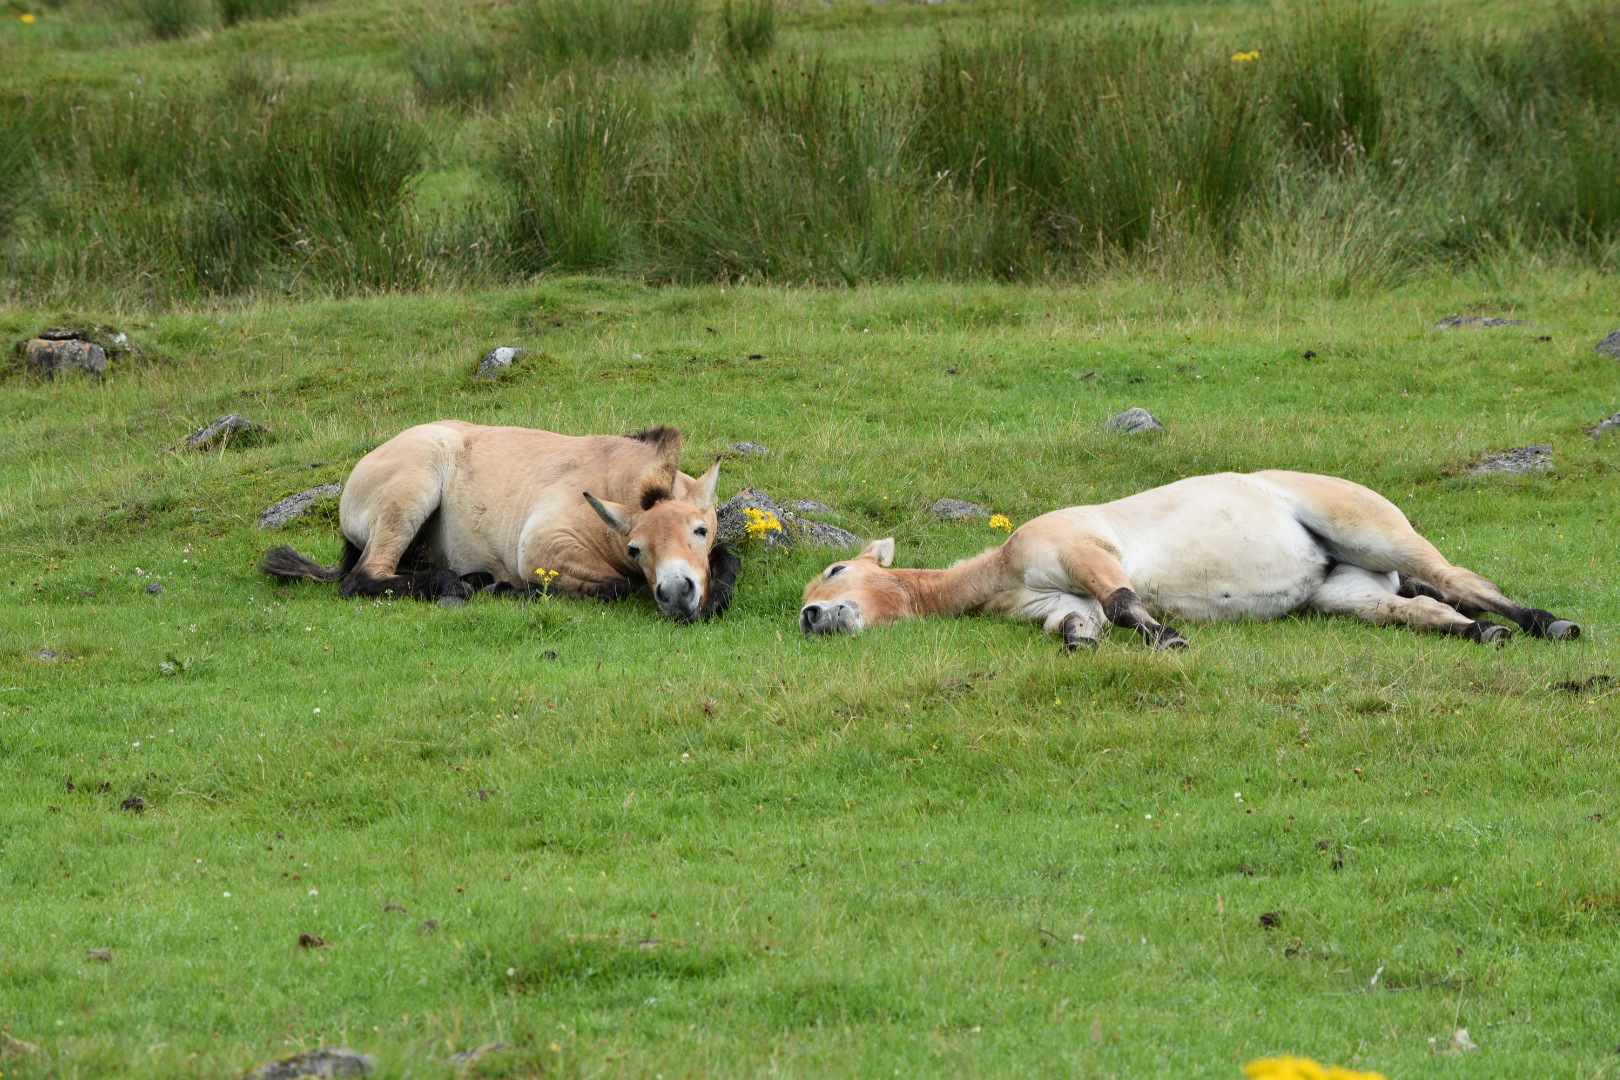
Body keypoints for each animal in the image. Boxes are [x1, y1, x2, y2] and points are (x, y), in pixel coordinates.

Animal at [261, 422, 740, 622]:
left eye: (699, 531)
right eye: (634, 549)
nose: (676, 594)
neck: (614, 477)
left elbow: (729, 555)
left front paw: (714, 596)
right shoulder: (542, 548)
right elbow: (617, 585)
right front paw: (514, 590)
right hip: (412, 490)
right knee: (363, 578)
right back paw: (462, 584)